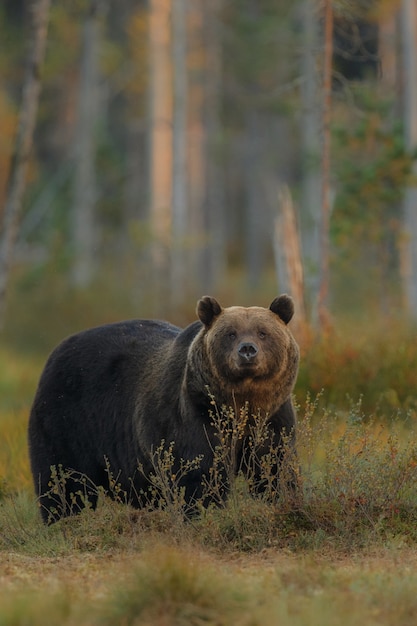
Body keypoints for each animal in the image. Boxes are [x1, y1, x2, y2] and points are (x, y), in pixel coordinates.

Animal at [28, 294, 300, 520]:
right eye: (230, 333)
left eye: (263, 332)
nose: (247, 350)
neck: (241, 403)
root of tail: (57, 350)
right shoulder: (194, 411)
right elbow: (199, 470)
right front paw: (204, 511)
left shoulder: (273, 415)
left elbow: (276, 464)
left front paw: (282, 499)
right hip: (66, 417)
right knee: (62, 478)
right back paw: (64, 518)